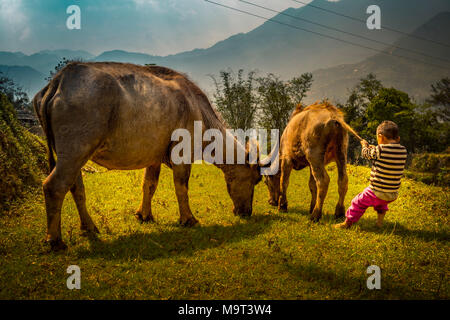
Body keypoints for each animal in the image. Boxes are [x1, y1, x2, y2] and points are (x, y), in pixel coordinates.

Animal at [33, 62, 262, 250]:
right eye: (256, 179)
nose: (246, 212)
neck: (197, 109)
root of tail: (59, 81)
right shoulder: (182, 153)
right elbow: (181, 187)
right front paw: (188, 219)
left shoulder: (154, 158)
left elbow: (149, 185)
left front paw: (144, 215)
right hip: (75, 150)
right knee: (54, 186)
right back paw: (55, 240)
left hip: (73, 155)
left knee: (76, 187)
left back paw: (89, 227)